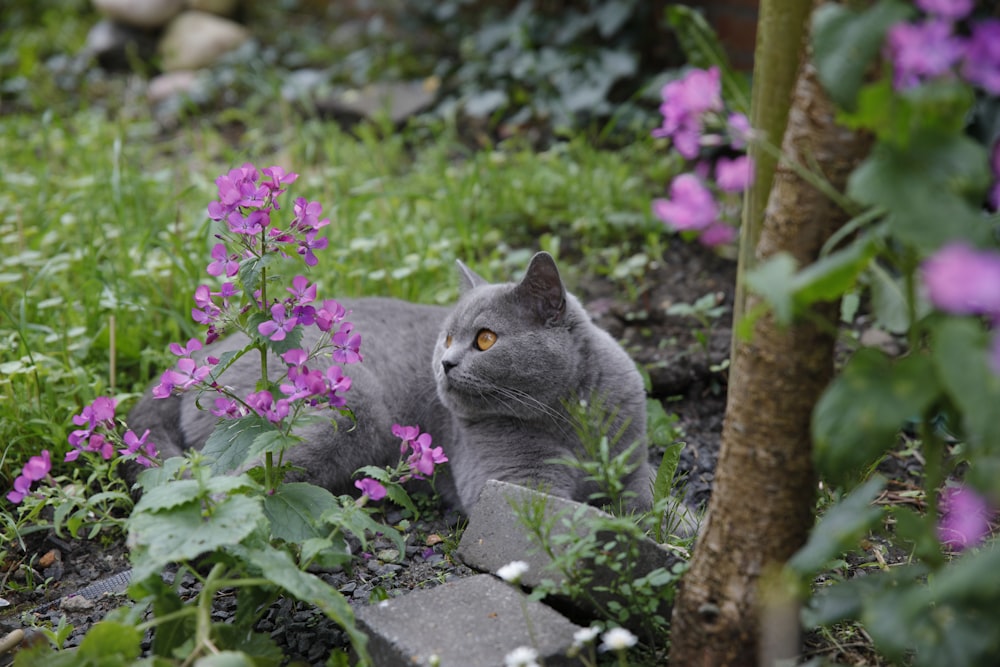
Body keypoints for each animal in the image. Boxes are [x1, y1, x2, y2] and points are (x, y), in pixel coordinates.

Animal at [127, 253, 656, 516]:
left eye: (485, 339)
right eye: (447, 336)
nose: (444, 363)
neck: (572, 418)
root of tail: (197, 359)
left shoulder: (634, 461)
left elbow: (649, 501)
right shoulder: (514, 480)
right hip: (350, 409)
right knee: (235, 486)